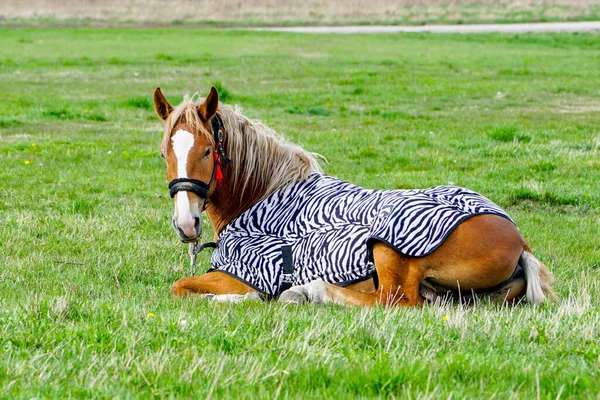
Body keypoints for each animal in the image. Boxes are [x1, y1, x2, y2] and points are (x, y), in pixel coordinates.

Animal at [152, 86, 556, 306]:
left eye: (207, 150)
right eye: (163, 153)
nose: (186, 224)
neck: (262, 196)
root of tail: (518, 239)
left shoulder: (243, 274)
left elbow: (181, 286)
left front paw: (238, 299)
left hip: (390, 252)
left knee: (393, 302)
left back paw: (309, 292)